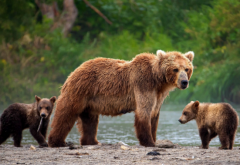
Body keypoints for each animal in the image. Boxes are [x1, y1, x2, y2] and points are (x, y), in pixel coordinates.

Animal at [47, 50, 194, 147]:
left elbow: (154, 114)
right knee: (66, 113)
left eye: (187, 69)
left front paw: (154, 138)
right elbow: (144, 112)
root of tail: (75, 70)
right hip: (80, 90)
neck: (158, 80)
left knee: (90, 120)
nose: (184, 82)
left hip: (90, 101)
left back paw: (93, 141)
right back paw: (58, 141)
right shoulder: (143, 84)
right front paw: (149, 142)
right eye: (175, 69)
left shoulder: (159, 95)